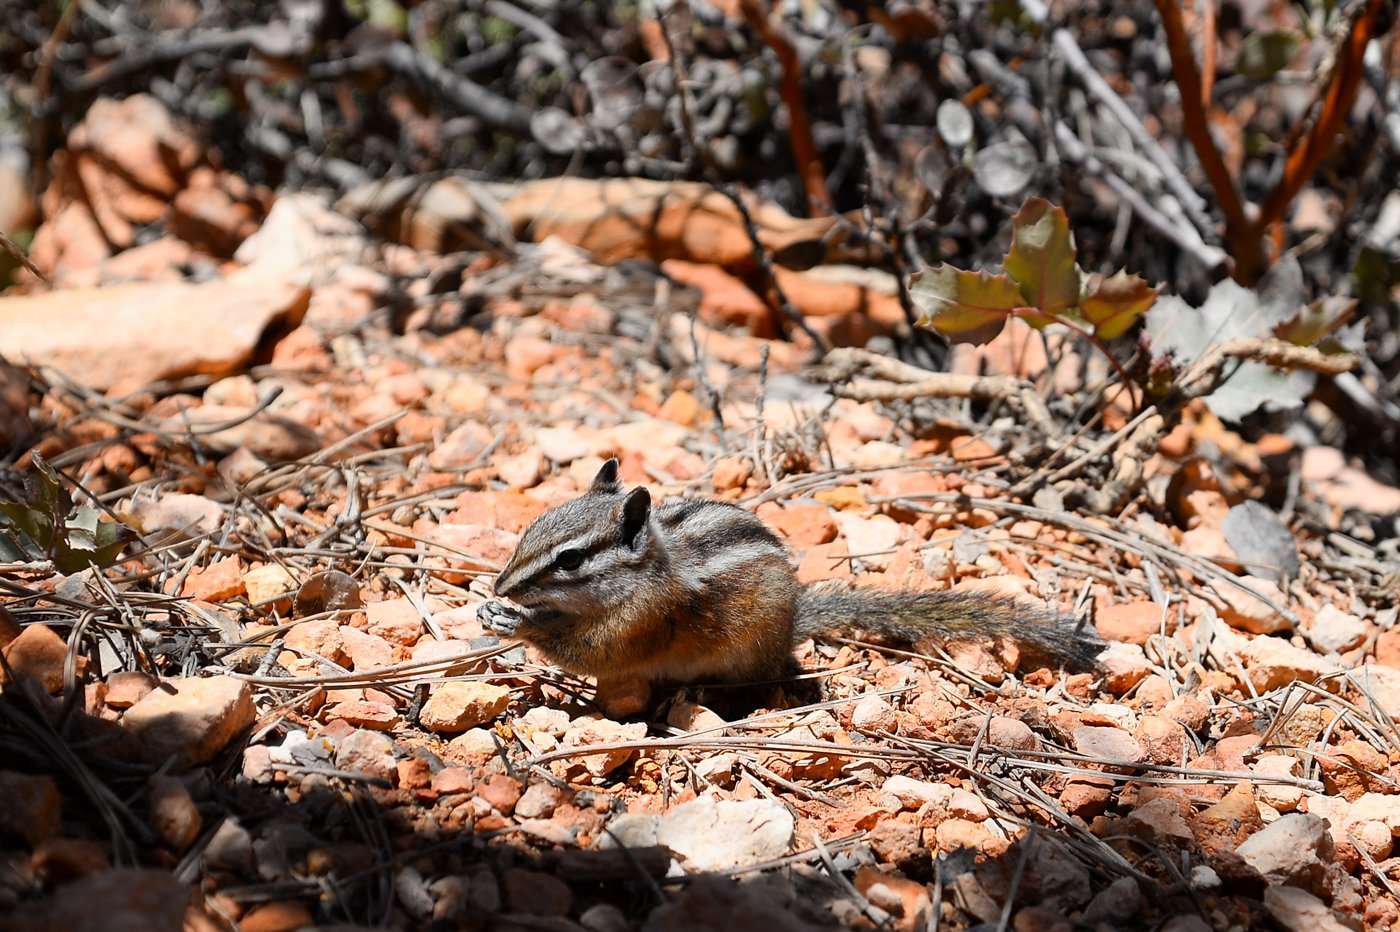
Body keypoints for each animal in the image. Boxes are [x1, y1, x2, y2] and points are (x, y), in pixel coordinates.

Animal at [478, 458, 1104, 715]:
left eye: (571, 559)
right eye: (532, 527)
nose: (503, 584)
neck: (644, 571)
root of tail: (794, 622)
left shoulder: (639, 624)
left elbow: (589, 652)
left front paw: (519, 624)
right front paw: (492, 611)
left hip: (744, 657)